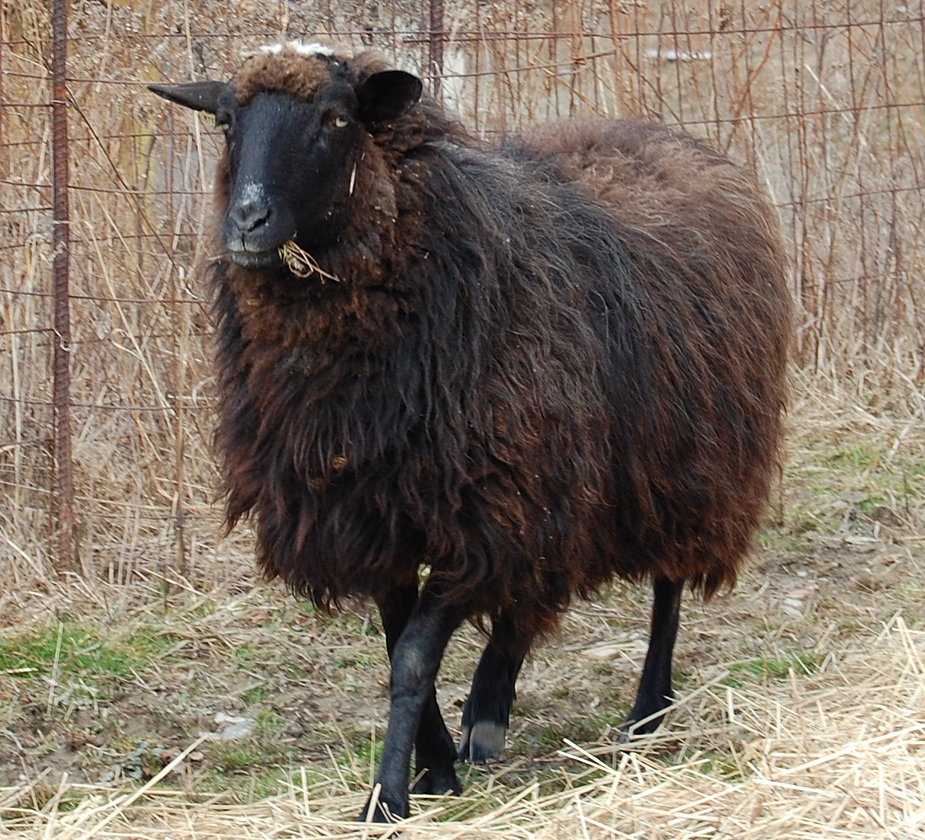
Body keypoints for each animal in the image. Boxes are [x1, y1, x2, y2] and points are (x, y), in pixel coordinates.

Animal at [149, 41, 791, 822]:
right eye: (225, 122)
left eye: (336, 119)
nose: (247, 221)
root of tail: (669, 136)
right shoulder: (378, 515)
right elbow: (399, 644)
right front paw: (433, 769)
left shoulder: (482, 515)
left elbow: (413, 656)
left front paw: (389, 795)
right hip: (563, 483)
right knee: (531, 596)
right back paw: (487, 718)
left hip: (690, 454)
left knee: (667, 586)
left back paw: (645, 712)